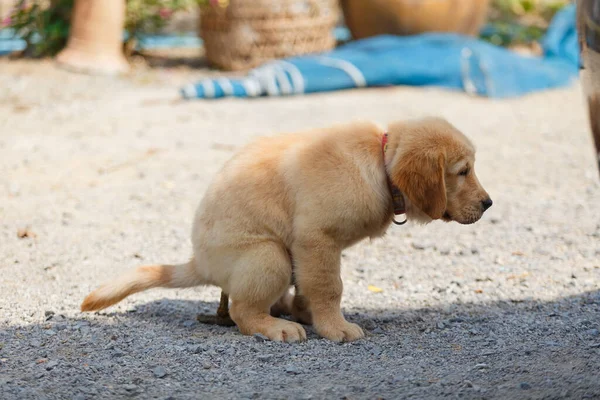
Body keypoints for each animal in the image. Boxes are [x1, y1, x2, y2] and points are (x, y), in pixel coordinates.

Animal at [79, 117, 492, 342]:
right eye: (463, 171)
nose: (489, 204)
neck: (380, 165)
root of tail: (200, 262)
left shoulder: (314, 249)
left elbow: (313, 287)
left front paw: (311, 313)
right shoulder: (316, 238)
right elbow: (329, 286)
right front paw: (335, 327)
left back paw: (284, 310)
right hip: (268, 255)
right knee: (243, 311)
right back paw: (275, 326)